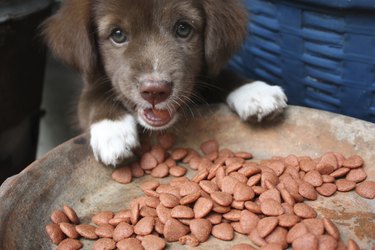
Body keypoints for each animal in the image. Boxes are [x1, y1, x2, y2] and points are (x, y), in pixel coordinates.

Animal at [41, 0, 288, 166]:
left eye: (183, 28)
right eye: (117, 34)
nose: (154, 91)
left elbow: (217, 75)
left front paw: (255, 92)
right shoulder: (90, 82)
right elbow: (92, 96)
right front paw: (112, 131)